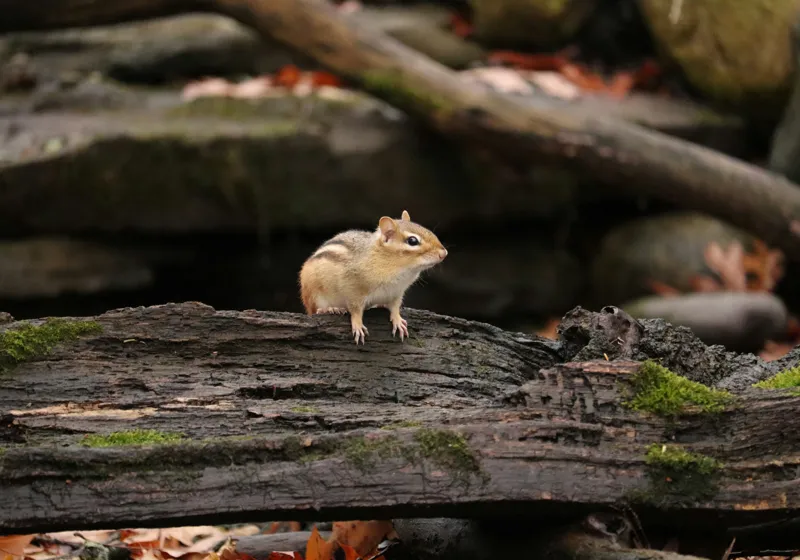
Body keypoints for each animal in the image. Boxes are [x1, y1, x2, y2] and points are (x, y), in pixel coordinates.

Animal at [299, 210, 448, 344]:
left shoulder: (396, 292)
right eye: (412, 241)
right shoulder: (353, 290)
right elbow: (355, 310)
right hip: (313, 293)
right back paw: (331, 309)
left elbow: (395, 307)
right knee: (315, 310)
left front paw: (398, 320)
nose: (444, 253)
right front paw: (358, 325)